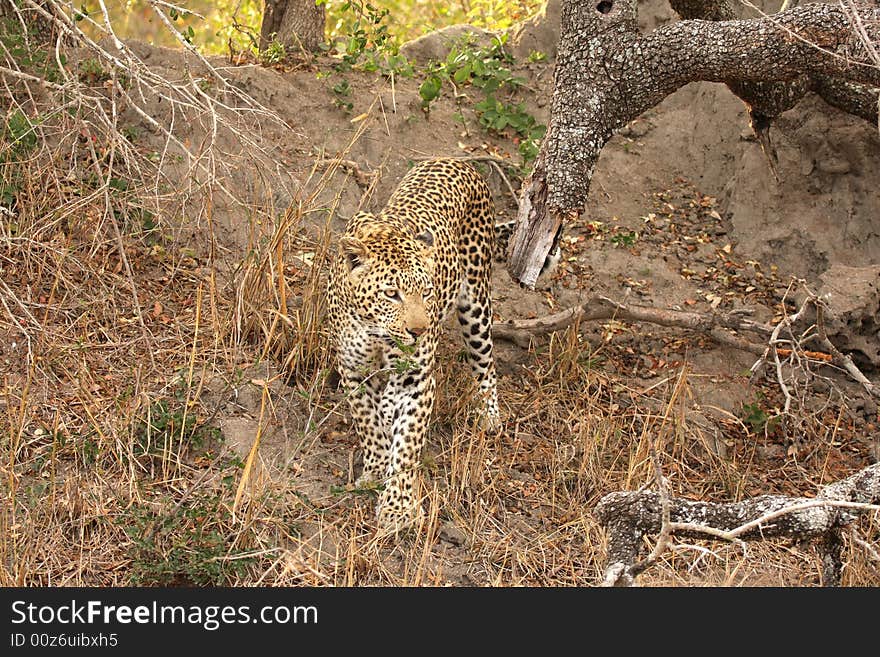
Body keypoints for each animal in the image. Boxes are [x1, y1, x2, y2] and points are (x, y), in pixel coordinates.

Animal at [326, 158, 502, 528]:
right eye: (392, 294)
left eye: (428, 291)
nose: (419, 331)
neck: (376, 332)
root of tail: (459, 161)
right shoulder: (352, 370)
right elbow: (368, 423)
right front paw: (375, 470)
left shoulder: (417, 381)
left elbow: (407, 445)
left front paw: (398, 507)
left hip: (476, 303)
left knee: (485, 361)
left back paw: (489, 415)